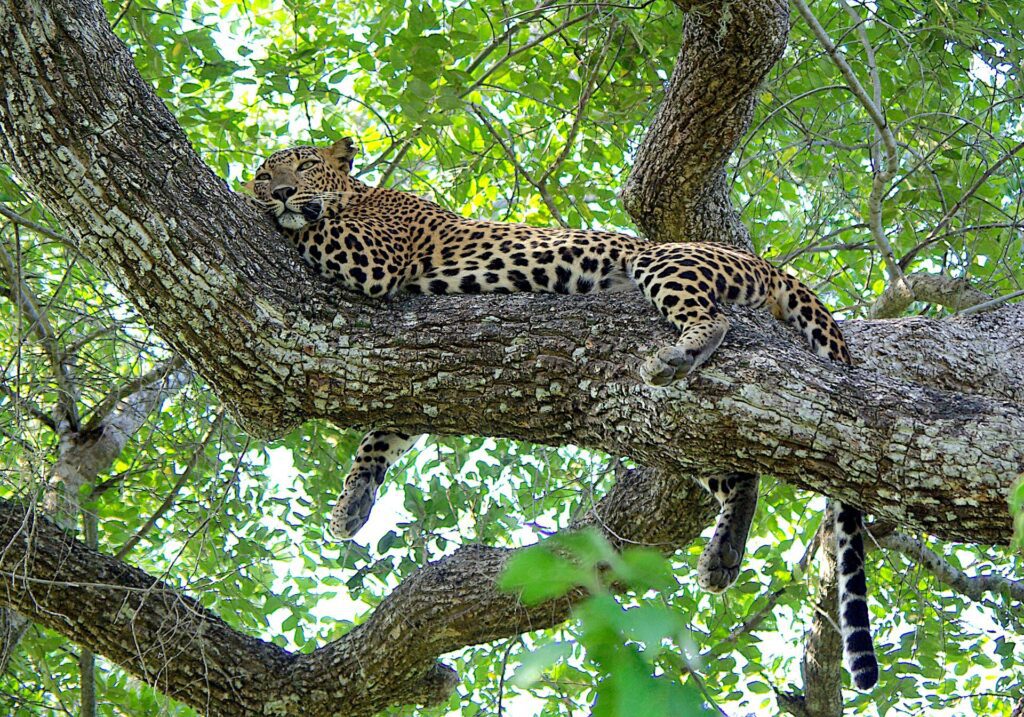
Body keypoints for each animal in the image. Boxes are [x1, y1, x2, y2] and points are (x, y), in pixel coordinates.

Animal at [245, 137, 879, 690]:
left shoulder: (371, 255)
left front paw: (262, 205)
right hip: (688, 430)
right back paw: (723, 551)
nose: (278, 190)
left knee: (712, 318)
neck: (361, 194)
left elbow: (311, 227)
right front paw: (352, 503)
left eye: (303, 166)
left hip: (666, 261)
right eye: (265, 172)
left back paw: (679, 354)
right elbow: (381, 436)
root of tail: (770, 265)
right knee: (740, 476)